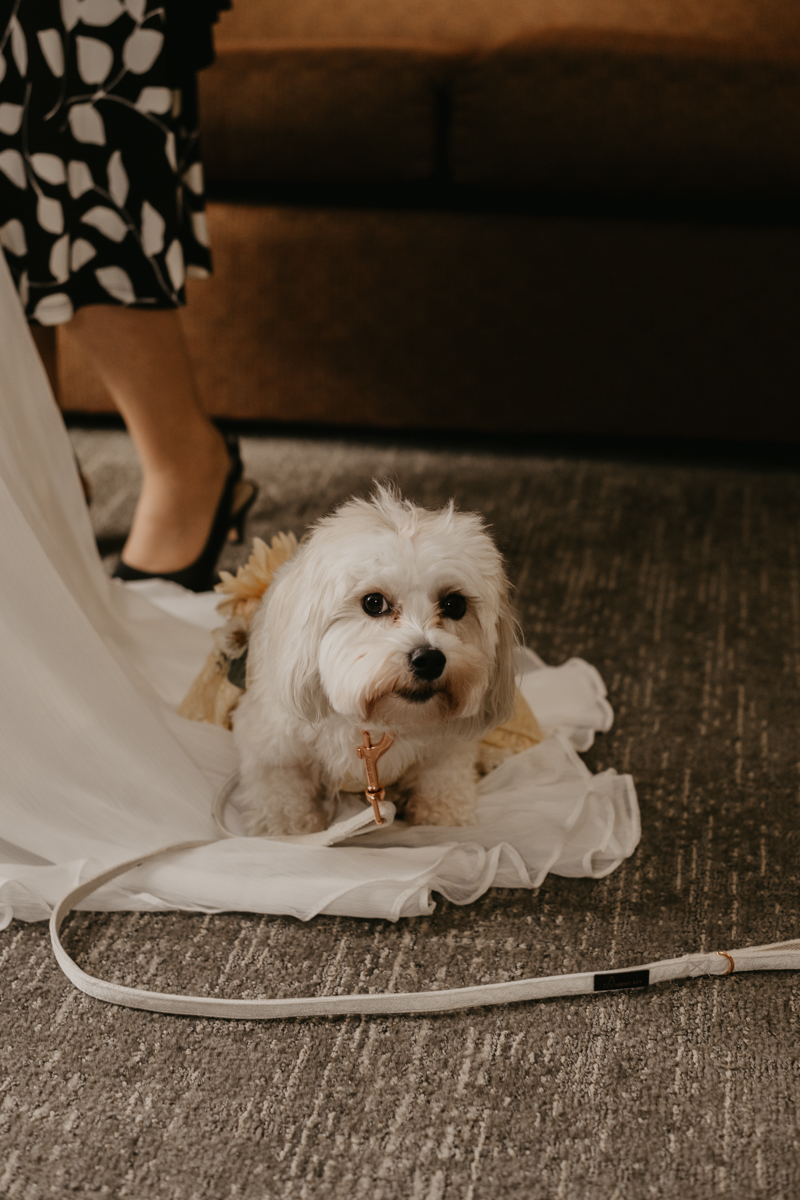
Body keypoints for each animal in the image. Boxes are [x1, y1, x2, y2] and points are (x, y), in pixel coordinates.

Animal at [232, 487, 520, 835]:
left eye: (454, 604)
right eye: (373, 602)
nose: (429, 660)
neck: (381, 722)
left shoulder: (446, 751)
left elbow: (443, 780)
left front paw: (443, 818)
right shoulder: (273, 747)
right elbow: (281, 792)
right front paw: (288, 827)